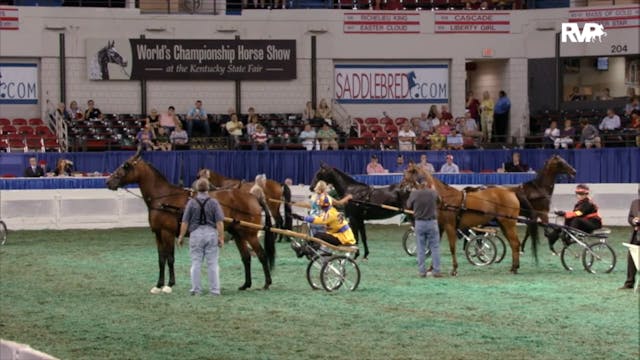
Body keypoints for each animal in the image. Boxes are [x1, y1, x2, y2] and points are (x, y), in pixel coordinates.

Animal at [105, 149, 276, 292]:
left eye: (125, 166)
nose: (108, 182)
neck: (163, 199)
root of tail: (253, 196)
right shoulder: (158, 234)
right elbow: (161, 259)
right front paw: (158, 284)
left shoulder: (167, 233)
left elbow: (170, 258)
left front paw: (169, 284)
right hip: (238, 233)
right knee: (246, 257)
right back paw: (246, 284)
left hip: (250, 234)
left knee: (261, 255)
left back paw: (267, 283)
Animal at [402, 166, 536, 276]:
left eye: (407, 174)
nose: (402, 187)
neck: (444, 199)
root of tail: (511, 191)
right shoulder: (440, 227)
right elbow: (434, 247)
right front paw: (431, 269)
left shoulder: (450, 226)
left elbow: (452, 247)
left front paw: (454, 270)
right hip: (503, 224)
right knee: (513, 244)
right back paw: (514, 267)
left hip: (508, 223)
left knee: (515, 243)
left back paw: (514, 268)